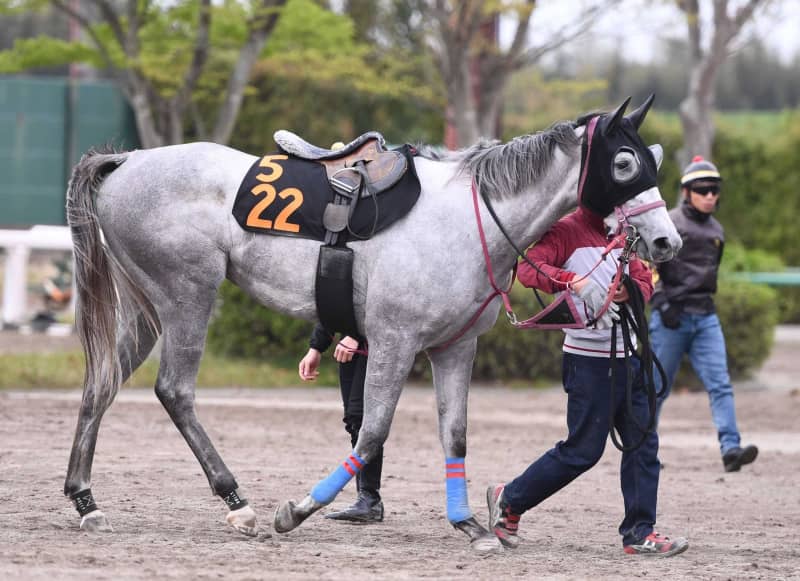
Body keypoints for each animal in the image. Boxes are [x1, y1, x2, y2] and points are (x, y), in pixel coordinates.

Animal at [64, 96, 681, 553]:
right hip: (188, 296)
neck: (467, 218)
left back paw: (86, 501)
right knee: (175, 391)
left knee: (101, 385)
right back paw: (238, 503)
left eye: (652, 159)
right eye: (625, 163)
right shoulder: (394, 342)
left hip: (146, 308)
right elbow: (374, 431)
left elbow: (454, 432)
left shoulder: (455, 348)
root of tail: (128, 162)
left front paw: (469, 524)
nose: (666, 242)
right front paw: (299, 510)